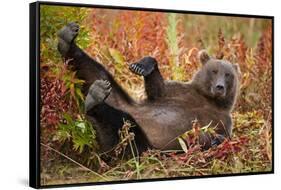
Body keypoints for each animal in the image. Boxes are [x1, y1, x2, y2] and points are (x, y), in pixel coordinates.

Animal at [57, 22, 238, 156]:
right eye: (214, 71)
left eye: (228, 74)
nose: (220, 87)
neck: (207, 99)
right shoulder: (180, 91)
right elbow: (157, 90)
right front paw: (143, 65)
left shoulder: (223, 120)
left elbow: (221, 137)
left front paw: (214, 139)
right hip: (121, 101)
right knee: (95, 73)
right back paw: (67, 39)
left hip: (142, 145)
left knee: (119, 126)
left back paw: (94, 99)